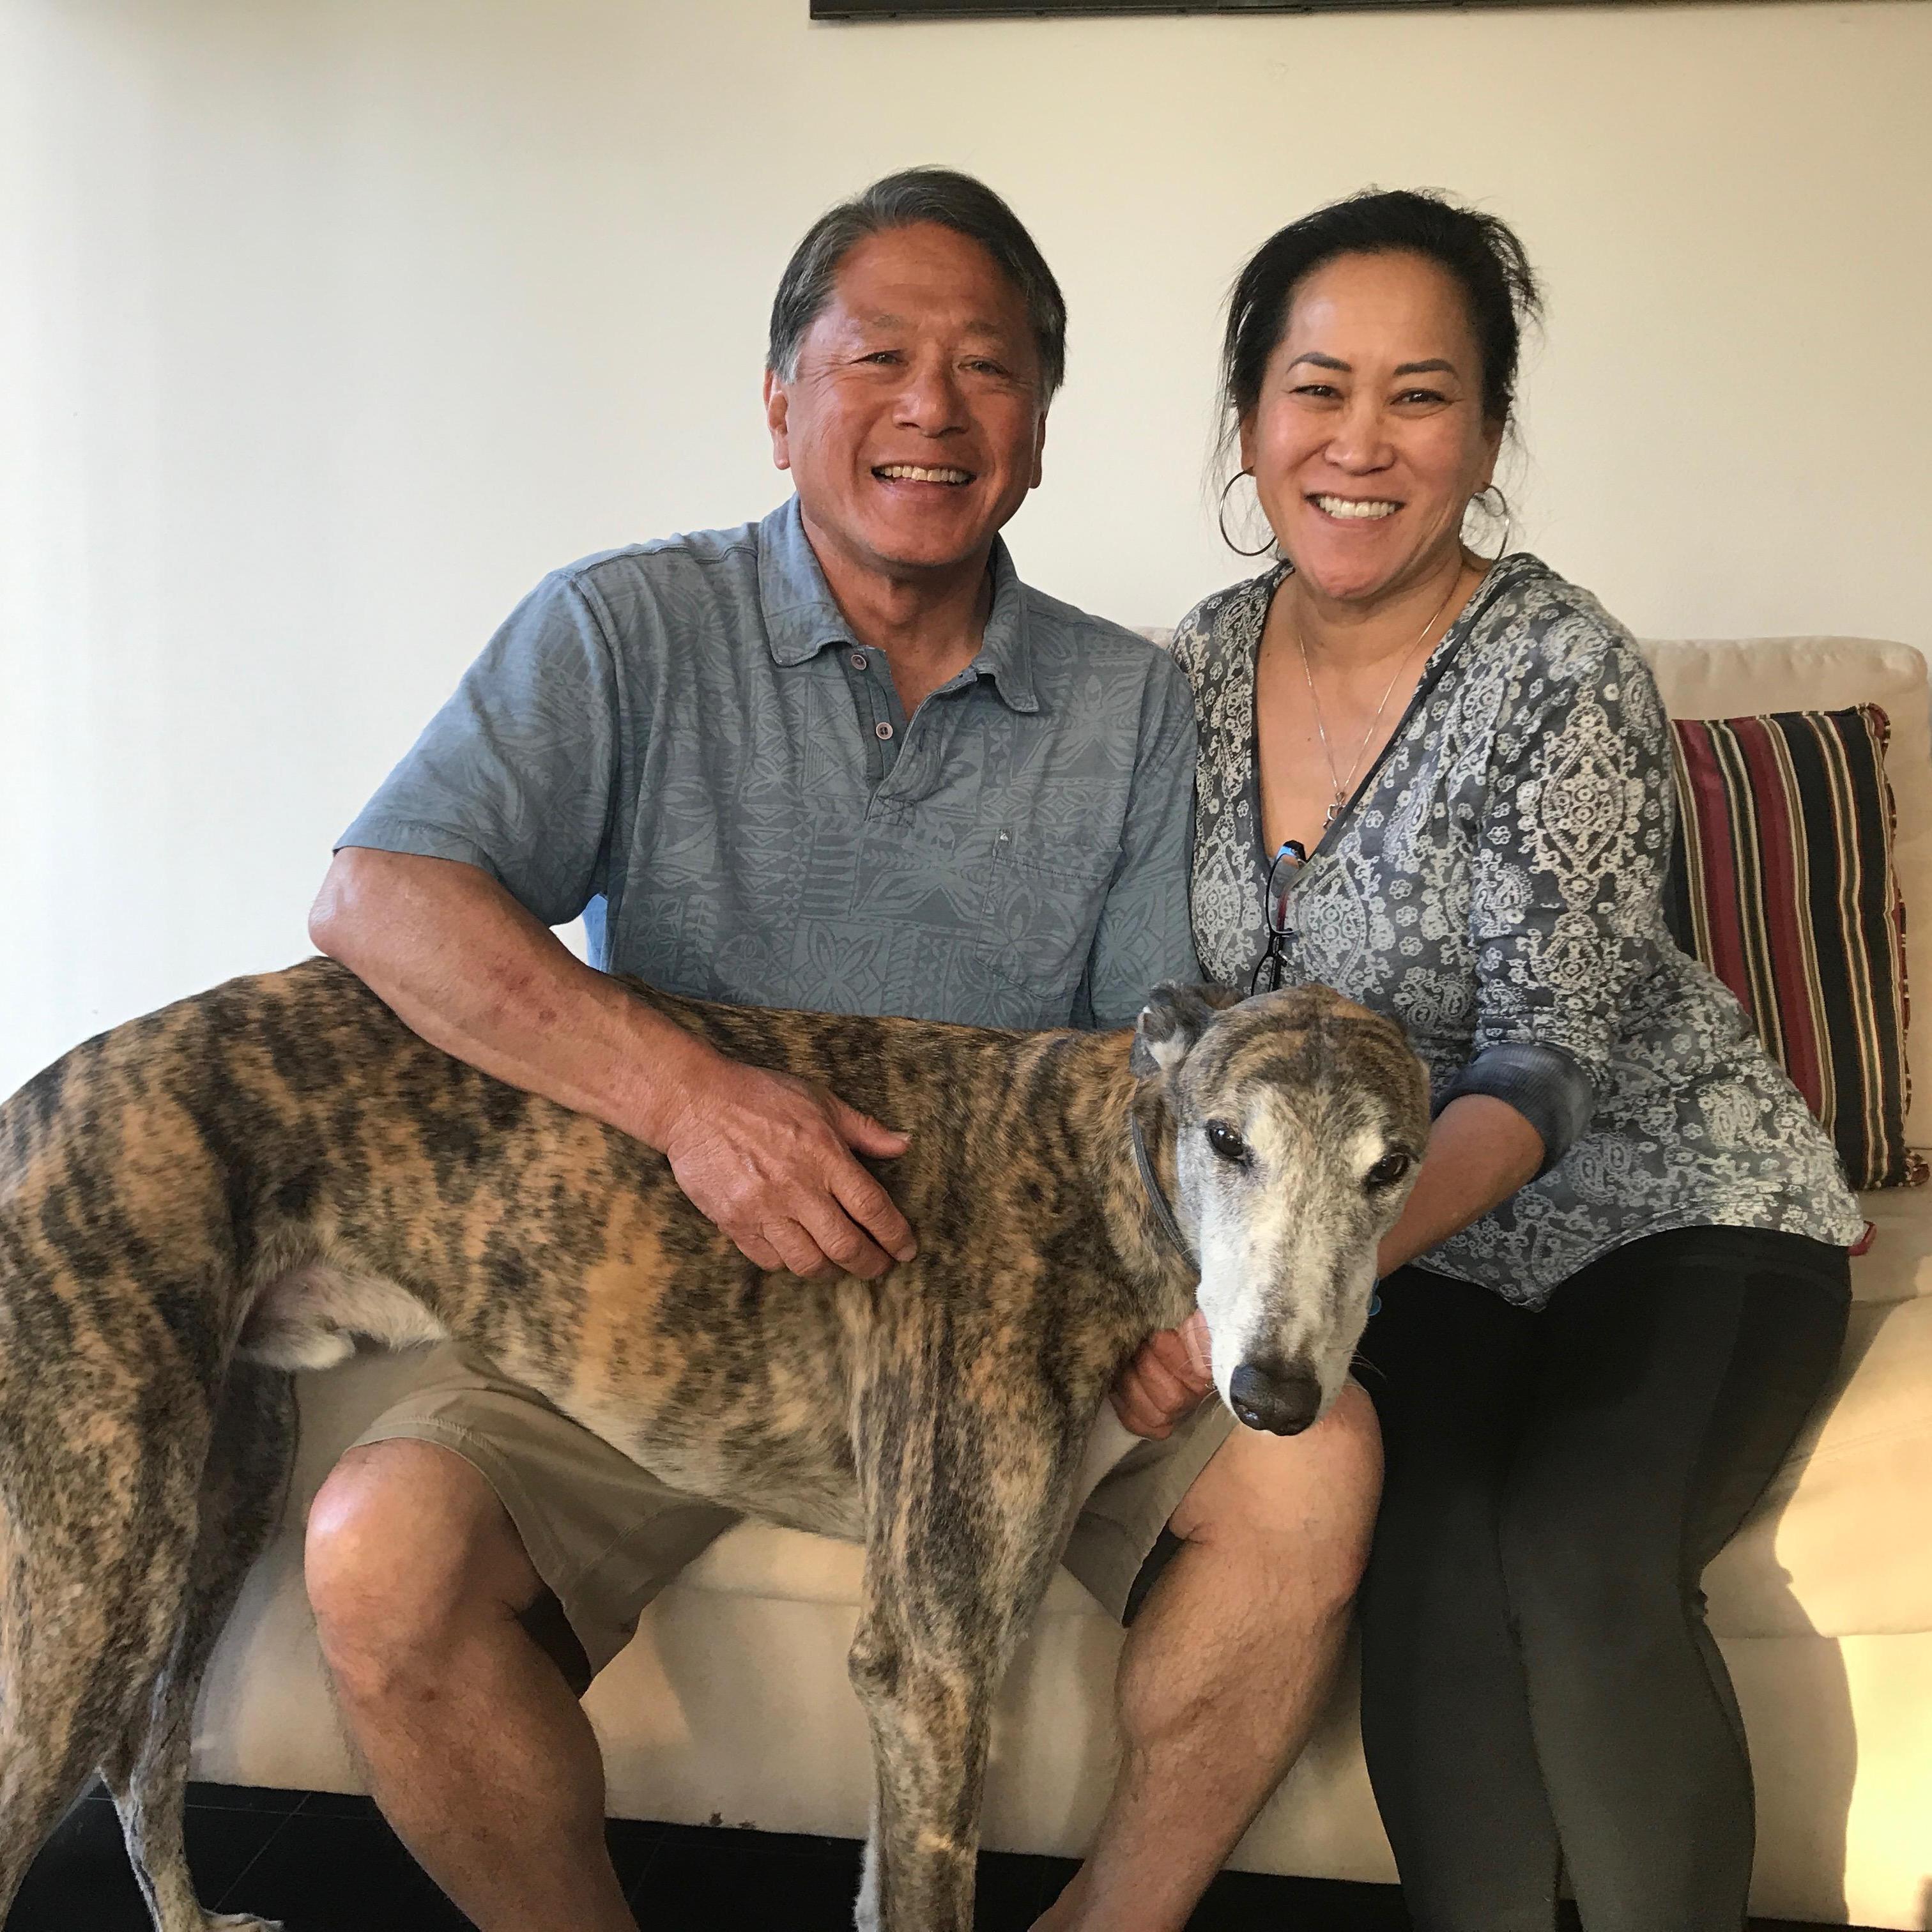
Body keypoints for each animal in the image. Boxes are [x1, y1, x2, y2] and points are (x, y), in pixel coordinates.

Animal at [0, 956, 1428, 1931]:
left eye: (1393, 1166)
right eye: (1226, 1140)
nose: (1273, 1396)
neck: (1093, 1170)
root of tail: (34, 1098)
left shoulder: (916, 1674)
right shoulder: (935, 1662)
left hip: (222, 1489)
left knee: (143, 1751)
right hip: (94, 1571)